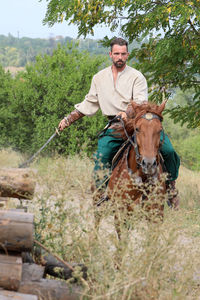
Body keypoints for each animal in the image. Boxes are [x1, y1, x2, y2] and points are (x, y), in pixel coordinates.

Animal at [94, 101, 167, 239]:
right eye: (137, 128)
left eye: (160, 129)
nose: (149, 164)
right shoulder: (120, 211)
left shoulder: (155, 214)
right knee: (97, 215)